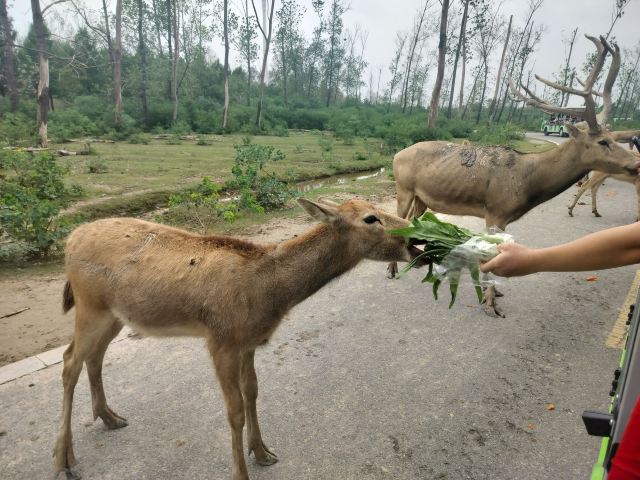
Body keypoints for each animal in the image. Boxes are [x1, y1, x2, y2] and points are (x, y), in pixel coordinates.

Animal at [53, 198, 424, 480]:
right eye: (371, 218)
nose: (417, 240)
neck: (269, 293)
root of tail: (69, 241)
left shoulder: (248, 342)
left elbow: (253, 394)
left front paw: (262, 451)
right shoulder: (222, 340)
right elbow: (234, 411)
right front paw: (241, 471)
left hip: (114, 314)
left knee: (93, 357)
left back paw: (109, 417)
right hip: (90, 304)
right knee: (69, 362)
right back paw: (64, 460)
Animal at [387, 35, 640, 317]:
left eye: (615, 137)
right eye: (603, 142)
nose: (635, 162)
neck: (527, 183)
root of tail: (396, 154)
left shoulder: (503, 216)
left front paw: (496, 293)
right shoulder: (495, 210)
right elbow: (488, 255)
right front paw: (490, 304)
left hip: (422, 198)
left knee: (410, 221)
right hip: (403, 187)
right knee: (397, 219)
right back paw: (392, 269)